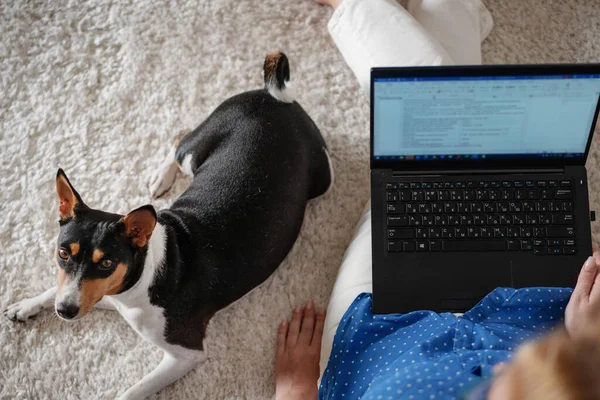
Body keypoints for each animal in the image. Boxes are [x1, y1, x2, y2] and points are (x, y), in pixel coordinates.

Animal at [3, 51, 332, 398]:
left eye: (106, 263)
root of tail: (276, 96)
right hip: (195, 155)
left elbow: (129, 392)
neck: (142, 276)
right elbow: (52, 289)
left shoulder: (185, 353)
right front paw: (25, 306)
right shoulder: (103, 296)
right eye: (63, 253)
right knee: (179, 140)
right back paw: (161, 177)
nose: (65, 311)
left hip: (322, 180)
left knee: (179, 140)